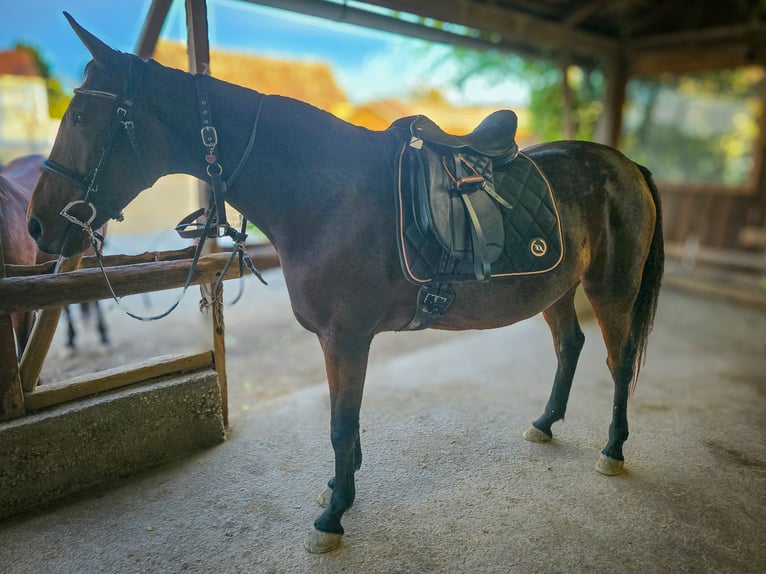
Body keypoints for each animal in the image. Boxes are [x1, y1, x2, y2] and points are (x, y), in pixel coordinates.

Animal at [27, 13, 664, 552]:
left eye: (81, 117)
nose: (36, 225)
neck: (327, 194)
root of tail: (627, 164)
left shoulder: (347, 337)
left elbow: (339, 425)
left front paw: (332, 518)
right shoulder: (340, 340)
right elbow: (346, 422)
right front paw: (340, 491)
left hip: (610, 288)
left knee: (618, 360)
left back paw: (613, 448)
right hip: (554, 288)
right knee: (570, 345)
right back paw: (545, 423)